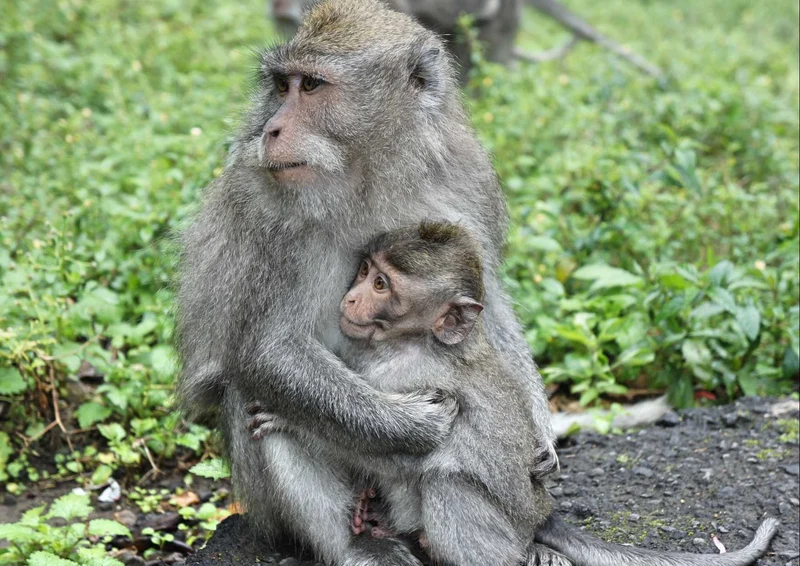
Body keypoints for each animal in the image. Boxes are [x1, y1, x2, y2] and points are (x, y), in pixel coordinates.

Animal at [175, 1, 557, 565]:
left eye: (311, 86)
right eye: (281, 85)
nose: (271, 129)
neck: (372, 175)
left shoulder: (465, 178)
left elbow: (487, 300)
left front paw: (540, 433)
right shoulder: (269, 212)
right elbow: (268, 350)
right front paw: (418, 426)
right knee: (254, 395)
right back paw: (355, 544)